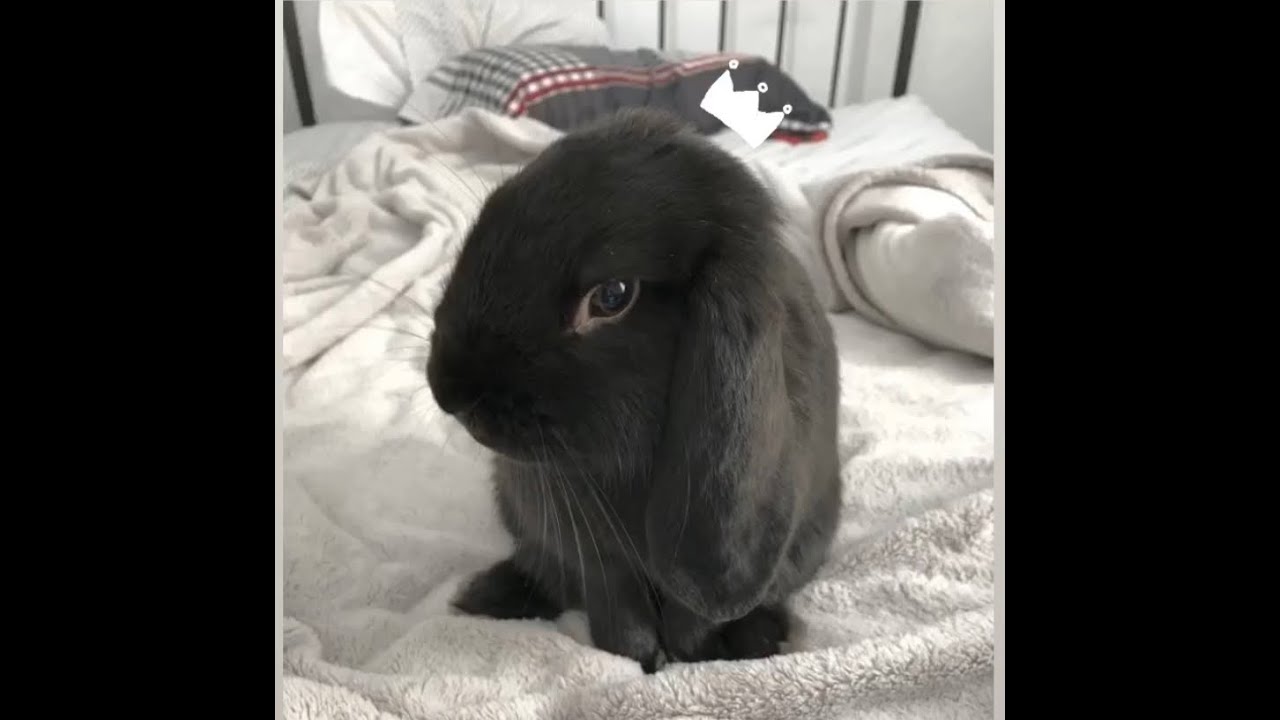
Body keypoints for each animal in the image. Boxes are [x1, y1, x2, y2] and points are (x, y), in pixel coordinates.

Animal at [426, 108, 841, 672]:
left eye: (612, 296)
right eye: (490, 212)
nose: (447, 389)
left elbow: (692, 613)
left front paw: (690, 657)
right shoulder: (587, 545)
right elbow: (615, 605)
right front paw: (639, 658)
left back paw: (760, 639)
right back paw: (485, 595)